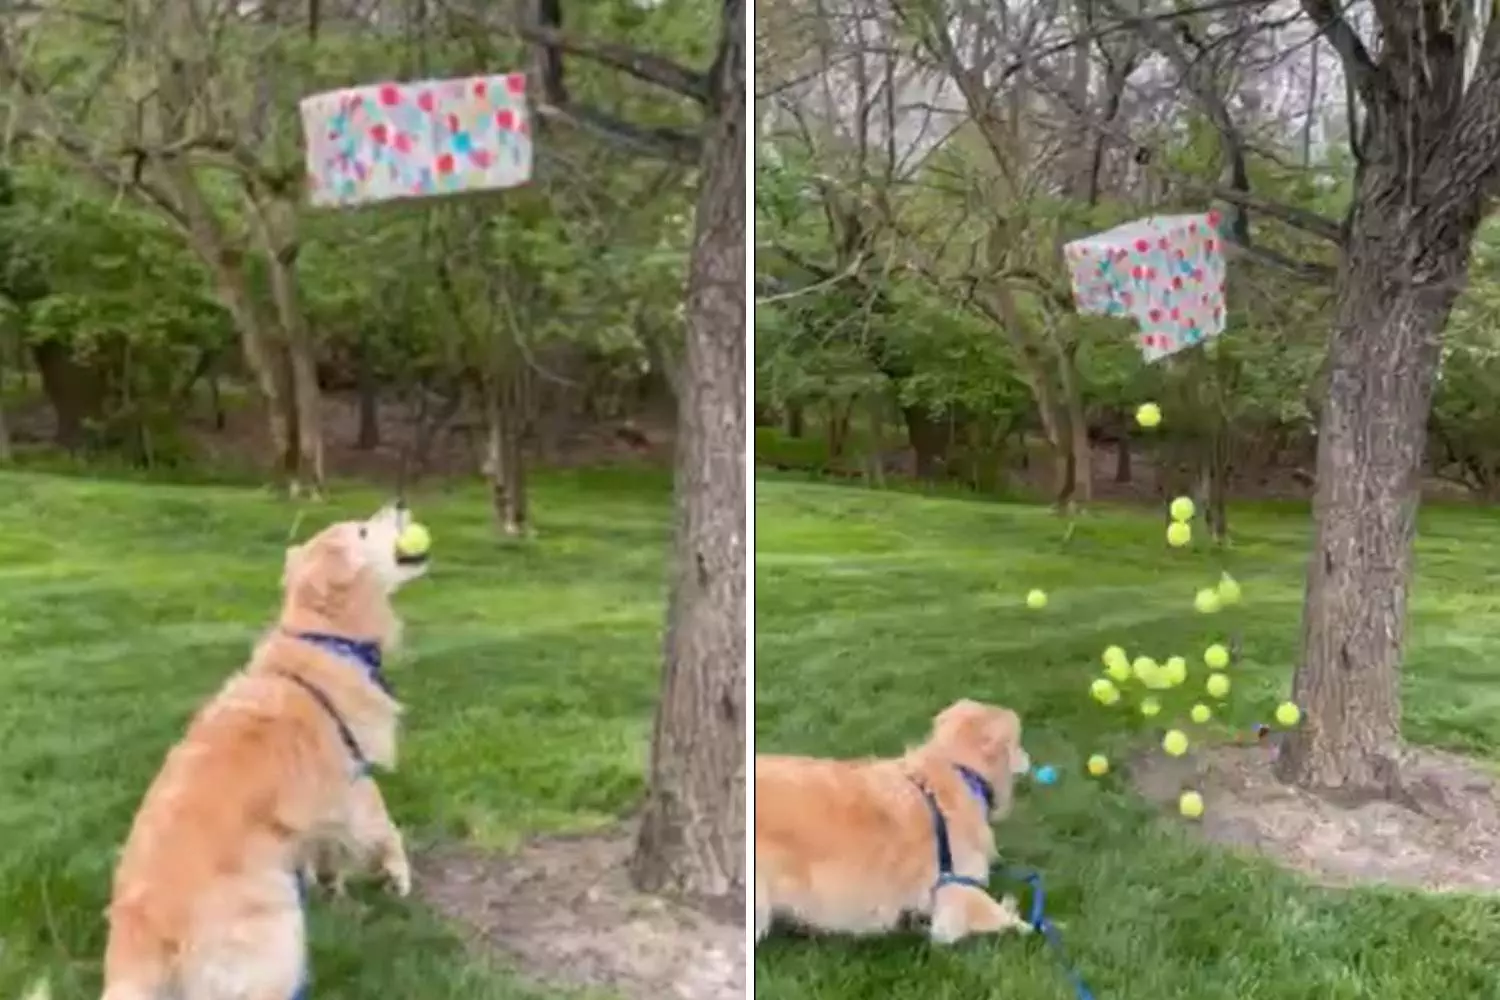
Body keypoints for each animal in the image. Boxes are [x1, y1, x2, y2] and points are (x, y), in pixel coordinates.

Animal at [101, 503, 429, 1000]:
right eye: (362, 531)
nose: (400, 503)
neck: (326, 638)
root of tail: (143, 929)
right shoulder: (353, 782)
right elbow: (384, 827)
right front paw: (397, 874)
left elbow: (323, 854)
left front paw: (333, 889)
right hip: (277, 933)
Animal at [762, 695, 1032, 947]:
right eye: (1019, 742)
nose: (1030, 759)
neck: (958, 770)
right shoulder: (956, 889)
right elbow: (1004, 917)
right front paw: (1026, 926)